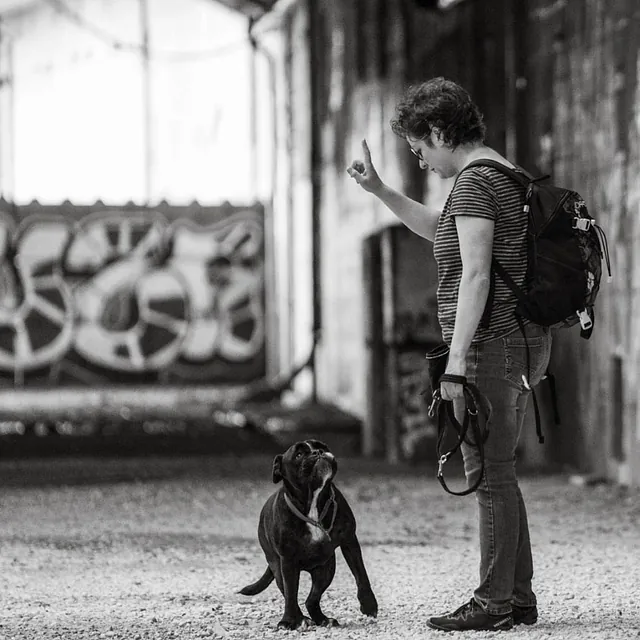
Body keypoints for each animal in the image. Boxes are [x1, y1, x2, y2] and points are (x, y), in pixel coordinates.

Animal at [240, 440, 380, 632]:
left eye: (323, 446)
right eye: (299, 454)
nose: (318, 452)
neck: (313, 500)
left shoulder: (350, 541)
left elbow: (361, 574)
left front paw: (368, 604)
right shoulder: (287, 561)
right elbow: (291, 593)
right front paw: (289, 620)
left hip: (325, 570)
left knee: (311, 599)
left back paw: (323, 619)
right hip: (277, 566)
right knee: (291, 595)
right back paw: (303, 619)